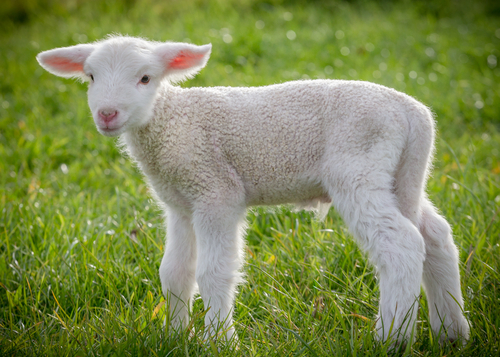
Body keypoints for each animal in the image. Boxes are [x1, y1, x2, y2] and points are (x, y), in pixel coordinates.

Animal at [37, 34, 470, 344]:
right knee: (435, 237)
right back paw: (451, 331)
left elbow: (213, 272)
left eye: (145, 78)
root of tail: (413, 113)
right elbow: (175, 272)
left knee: (402, 245)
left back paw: (391, 338)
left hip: (359, 168)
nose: (107, 114)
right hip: (401, 176)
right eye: (90, 78)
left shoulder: (216, 191)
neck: (173, 122)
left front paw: (217, 340)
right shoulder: (180, 203)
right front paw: (174, 337)